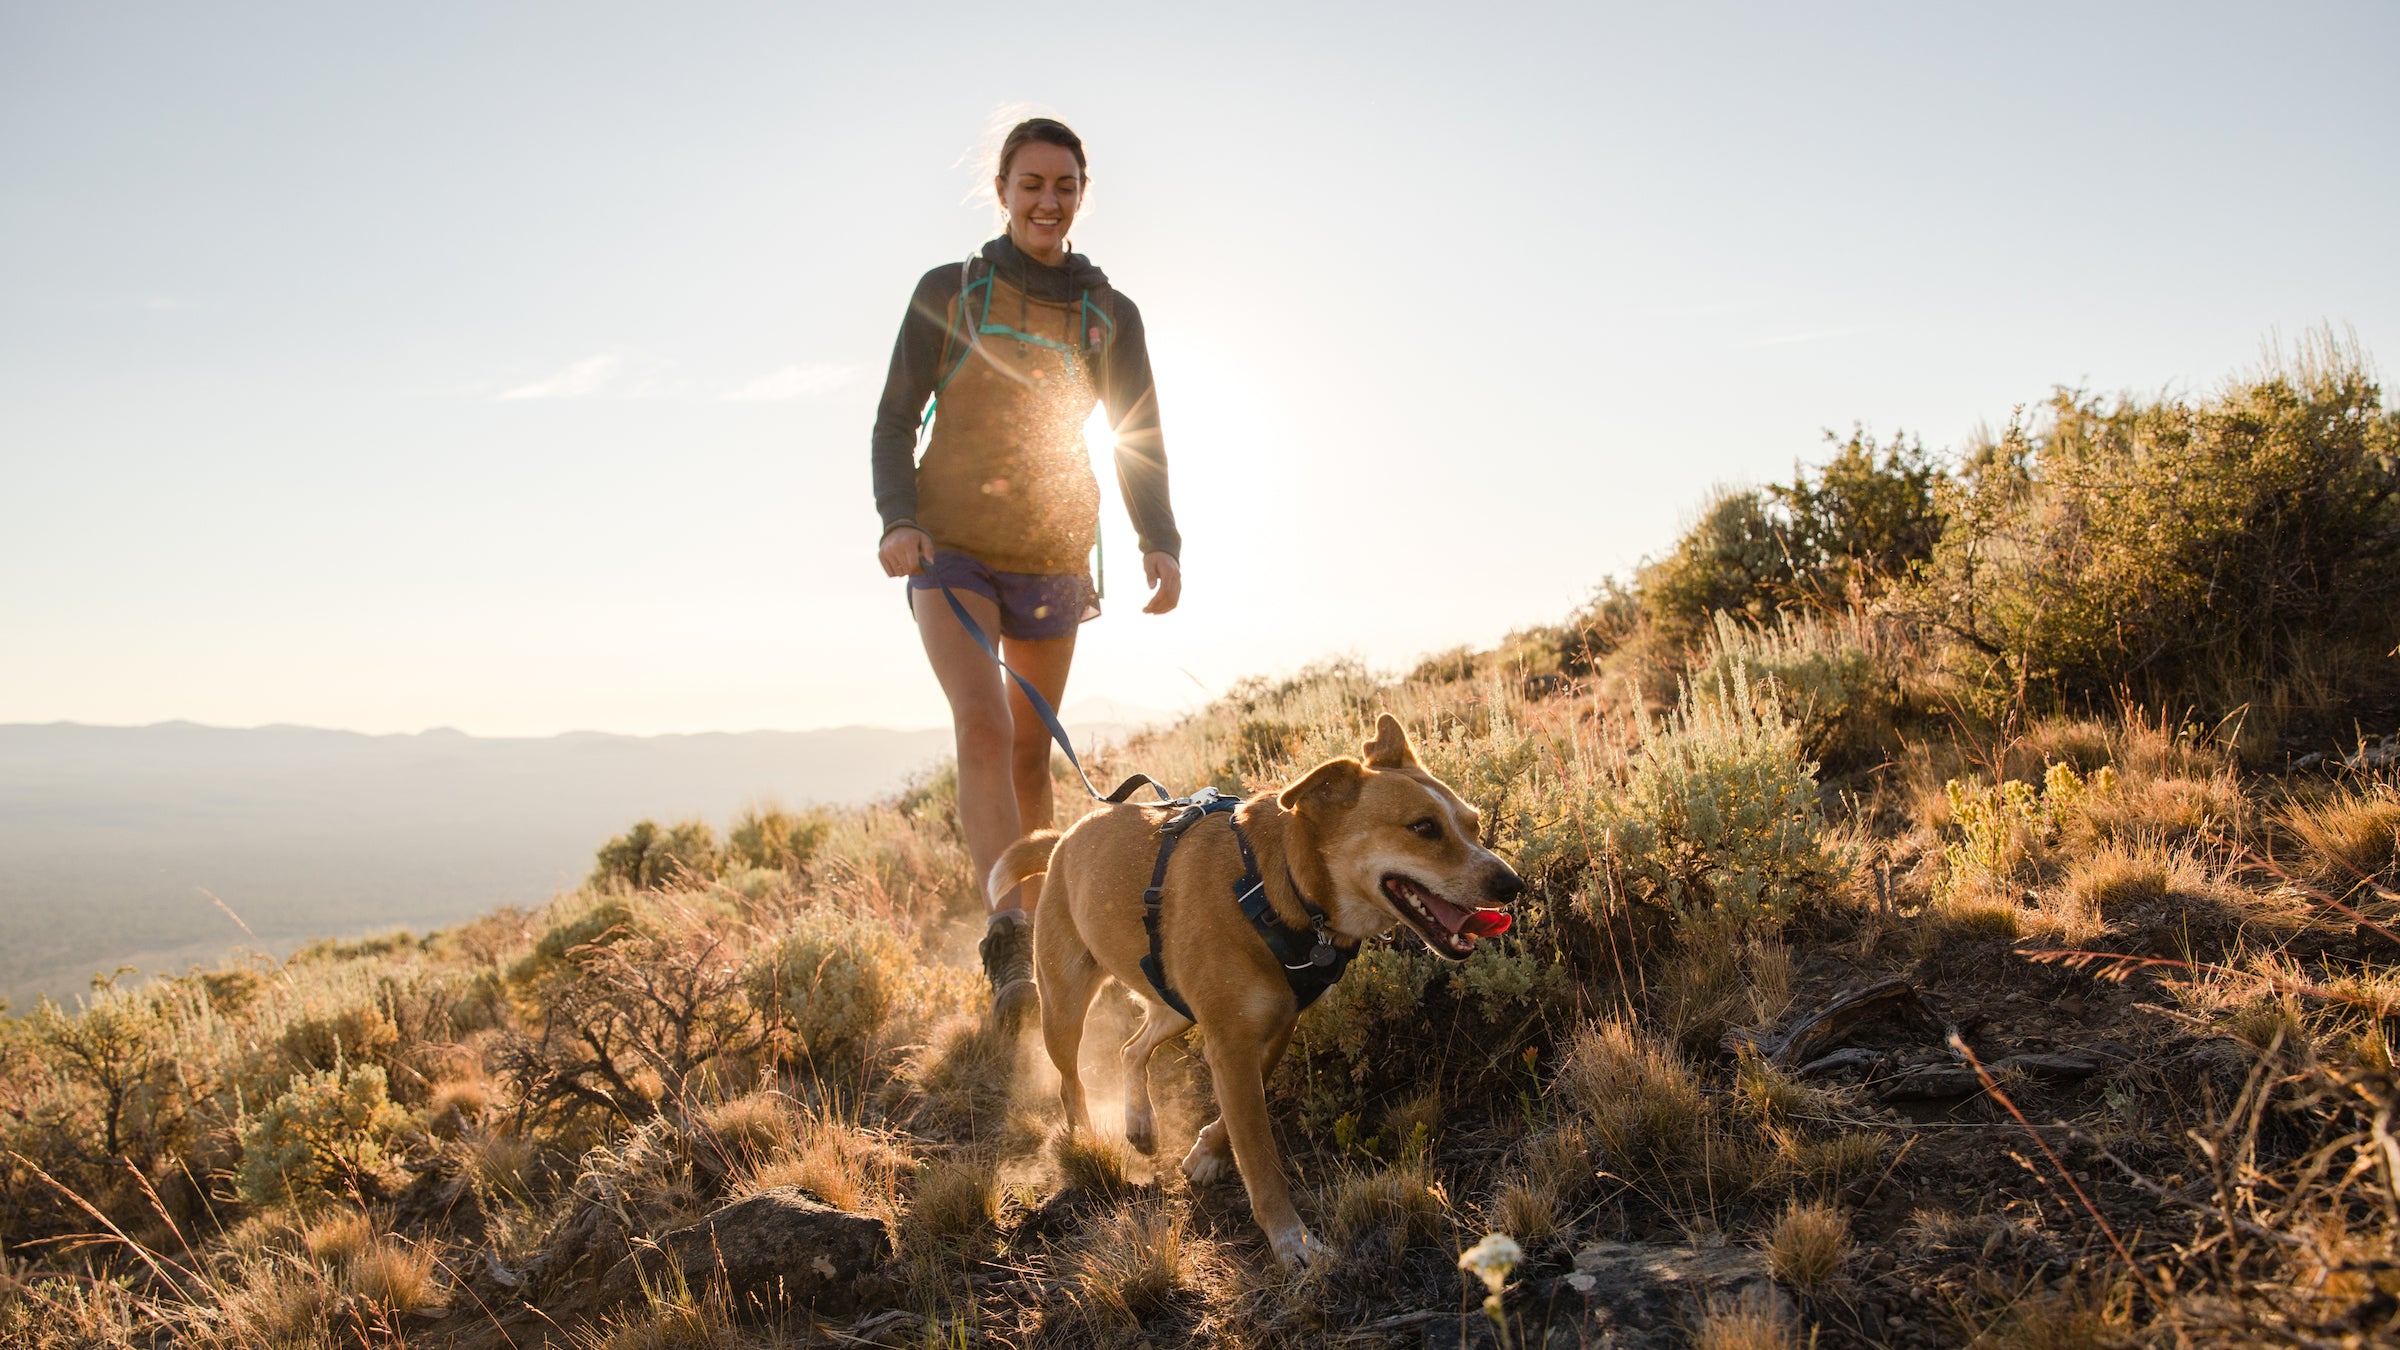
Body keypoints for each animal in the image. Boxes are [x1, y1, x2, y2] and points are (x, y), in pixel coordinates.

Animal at [988, 715, 1516, 1258]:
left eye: (1474, 825)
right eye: (1423, 828)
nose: (1511, 885)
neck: (1279, 885)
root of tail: (1062, 838)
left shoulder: (1273, 1027)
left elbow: (1242, 1110)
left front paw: (1207, 1153)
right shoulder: (1230, 1043)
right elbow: (1261, 1158)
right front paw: (1291, 1240)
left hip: (1174, 1005)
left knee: (1131, 1049)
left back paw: (1140, 1122)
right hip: (1063, 1007)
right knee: (1071, 1084)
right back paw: (1087, 1145)